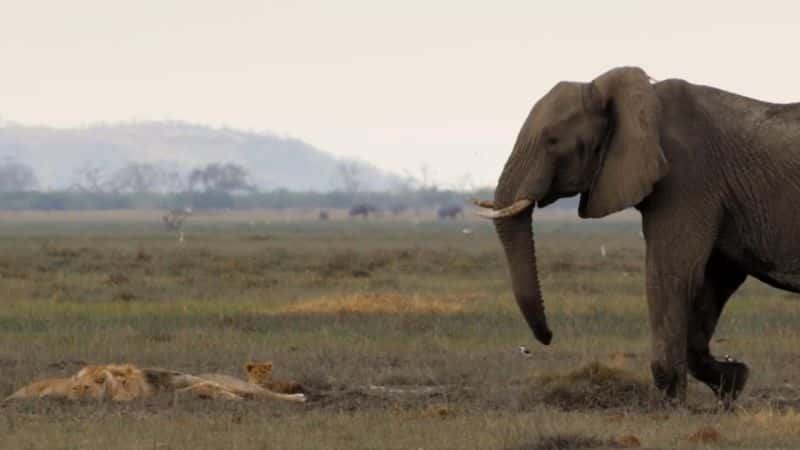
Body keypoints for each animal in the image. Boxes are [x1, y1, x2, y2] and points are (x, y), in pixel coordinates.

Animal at [472, 66, 800, 404]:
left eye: (552, 140)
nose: (547, 338)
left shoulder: (685, 178)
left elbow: (674, 272)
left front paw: (673, 403)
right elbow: (717, 278)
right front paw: (733, 382)